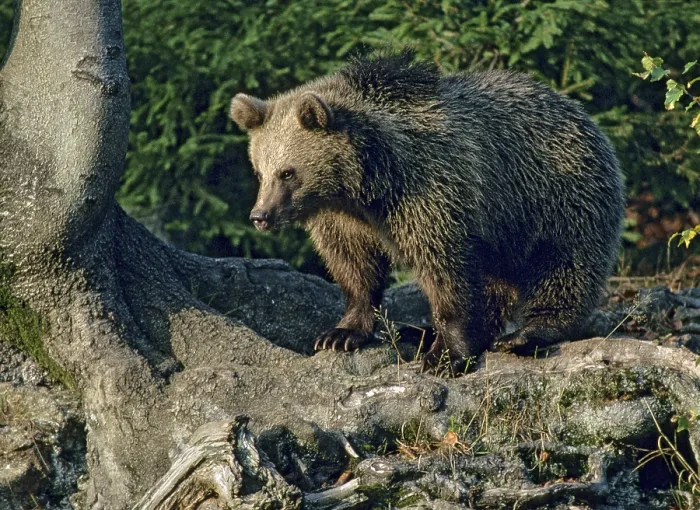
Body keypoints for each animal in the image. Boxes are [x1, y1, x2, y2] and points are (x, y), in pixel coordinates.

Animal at [230, 50, 624, 372]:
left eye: (287, 172)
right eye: (260, 171)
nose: (260, 216)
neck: (365, 183)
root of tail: (578, 109)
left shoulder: (428, 193)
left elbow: (445, 269)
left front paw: (444, 354)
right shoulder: (343, 217)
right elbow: (354, 266)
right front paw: (340, 333)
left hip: (555, 196)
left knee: (563, 264)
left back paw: (526, 333)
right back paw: (418, 331)